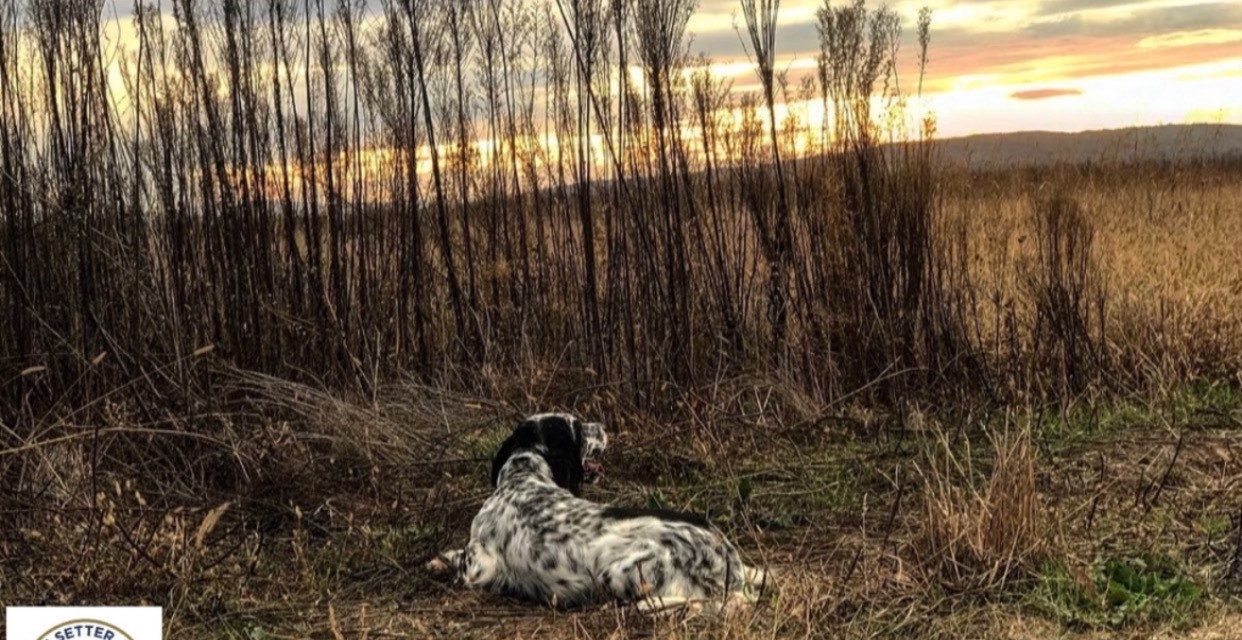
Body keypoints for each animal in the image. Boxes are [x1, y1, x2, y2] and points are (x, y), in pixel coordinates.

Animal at [424, 412, 765, 613]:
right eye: (577, 427)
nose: (604, 426)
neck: (524, 476)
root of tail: (727, 556)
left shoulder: (478, 567)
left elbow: (457, 554)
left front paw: (438, 561)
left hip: (618, 573)